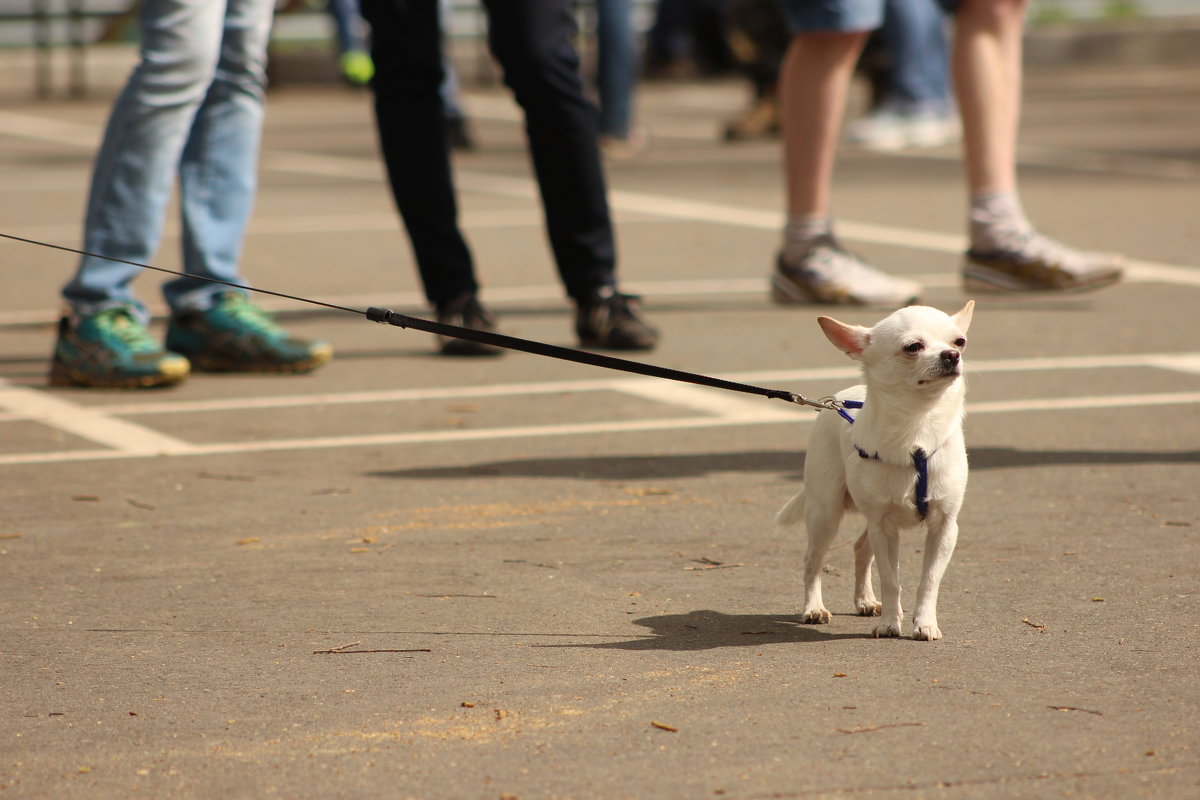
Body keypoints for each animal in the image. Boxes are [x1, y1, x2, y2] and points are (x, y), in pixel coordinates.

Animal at [777, 303, 974, 642]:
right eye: (913, 347)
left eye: (959, 341)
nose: (952, 355)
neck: (917, 431)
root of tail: (836, 401)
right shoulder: (883, 527)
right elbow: (891, 579)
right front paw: (889, 624)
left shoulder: (944, 527)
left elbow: (929, 581)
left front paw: (925, 623)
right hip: (825, 513)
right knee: (812, 560)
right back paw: (814, 608)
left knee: (859, 547)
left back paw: (865, 601)